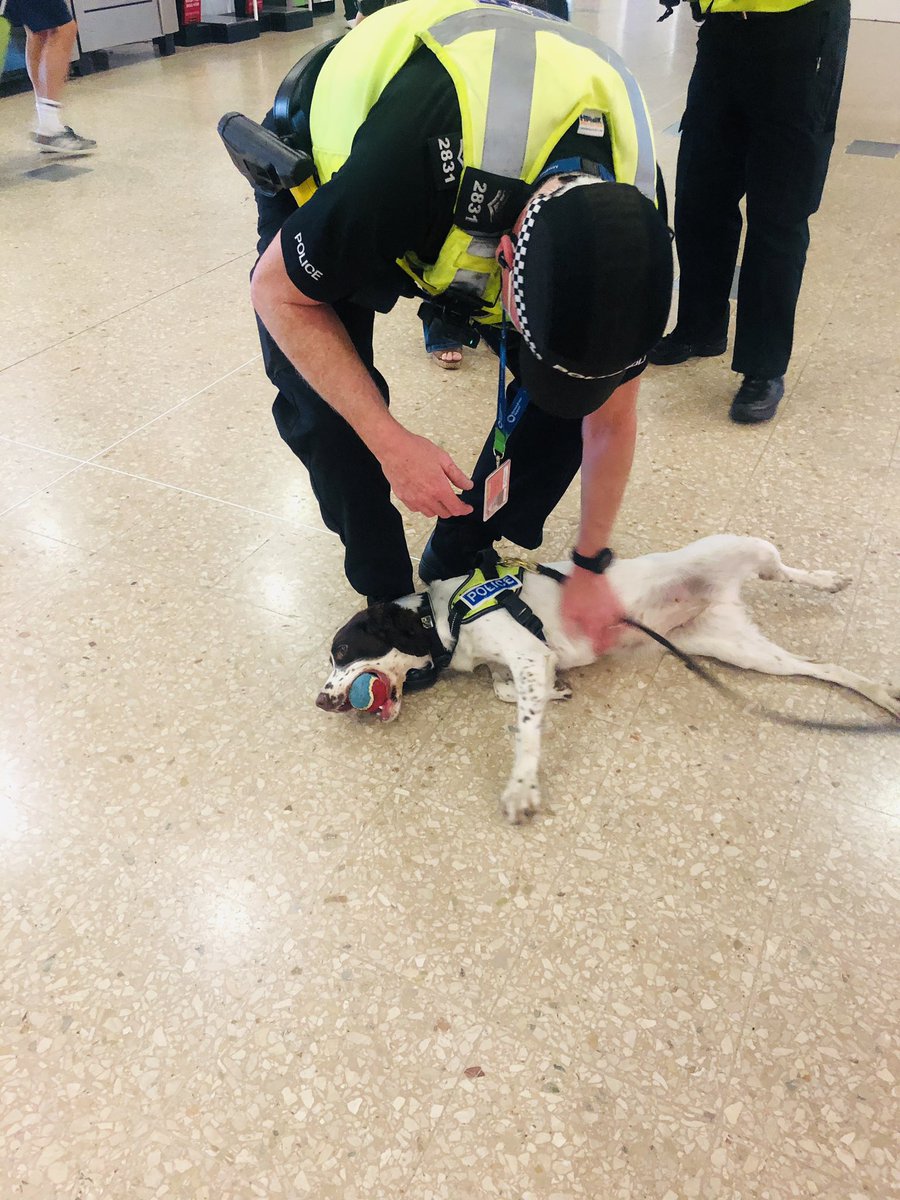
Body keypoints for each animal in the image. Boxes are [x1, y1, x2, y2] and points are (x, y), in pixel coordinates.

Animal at [316, 537, 900, 825]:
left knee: (785, 570)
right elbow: (508, 692)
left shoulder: (529, 654)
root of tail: (721, 595)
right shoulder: (520, 663)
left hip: (745, 549)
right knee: (825, 669)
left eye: (341, 652)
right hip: (739, 650)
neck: (442, 616)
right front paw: (557, 692)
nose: (321, 701)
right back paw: (884, 695)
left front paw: (522, 788)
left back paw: (827, 580)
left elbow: (526, 730)